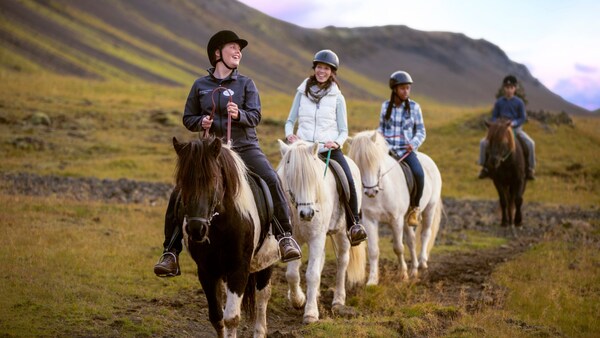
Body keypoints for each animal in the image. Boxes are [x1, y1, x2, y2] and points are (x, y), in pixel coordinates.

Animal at [171, 136, 278, 336]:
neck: (221, 224)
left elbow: (231, 318)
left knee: (262, 297)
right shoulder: (206, 270)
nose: (196, 229)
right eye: (182, 180)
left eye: (213, 178)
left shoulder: (239, 269)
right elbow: (216, 316)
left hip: (266, 261)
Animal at [276, 139, 366, 324]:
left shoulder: (316, 238)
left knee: (342, 262)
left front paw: (310, 313)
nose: (307, 214)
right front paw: (298, 300)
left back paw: (338, 301)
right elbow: (292, 274)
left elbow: (312, 274)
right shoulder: (293, 241)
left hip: (342, 234)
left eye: (313, 179)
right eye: (291, 179)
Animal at [346, 131, 440, 284]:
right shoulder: (370, 220)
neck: (382, 192)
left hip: (429, 209)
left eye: (375, 162)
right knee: (412, 240)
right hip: (406, 218)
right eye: (358, 165)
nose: (370, 192)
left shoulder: (396, 219)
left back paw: (422, 263)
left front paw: (403, 275)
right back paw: (414, 270)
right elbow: (373, 250)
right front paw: (372, 280)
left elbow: (398, 248)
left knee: (425, 233)